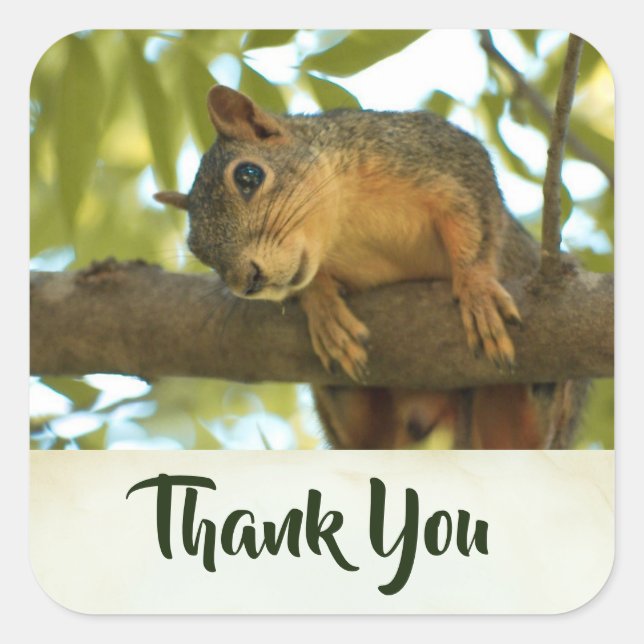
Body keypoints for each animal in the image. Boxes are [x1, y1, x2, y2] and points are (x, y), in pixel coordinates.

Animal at [155, 85, 588, 449]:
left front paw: (476, 288)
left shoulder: (439, 154)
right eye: (198, 251)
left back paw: (543, 385)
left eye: (249, 175)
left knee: (525, 434)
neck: (342, 227)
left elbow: (475, 220)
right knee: (365, 434)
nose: (248, 282)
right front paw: (322, 304)